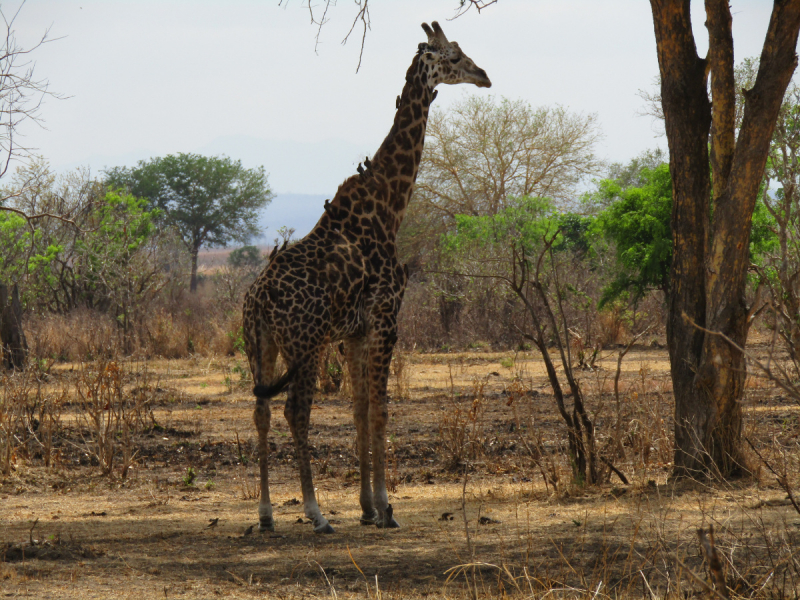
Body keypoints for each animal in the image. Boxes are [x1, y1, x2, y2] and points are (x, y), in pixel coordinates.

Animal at [244, 21, 490, 536]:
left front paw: (365, 506)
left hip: (260, 344)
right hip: (305, 344)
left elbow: (358, 410)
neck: (389, 206)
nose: (485, 76)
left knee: (260, 409)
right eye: (454, 57)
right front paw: (385, 507)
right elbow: (380, 410)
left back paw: (267, 514)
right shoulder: (384, 321)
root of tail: (256, 301)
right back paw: (315, 513)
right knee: (295, 411)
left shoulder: (353, 333)